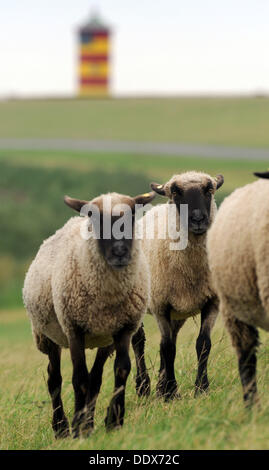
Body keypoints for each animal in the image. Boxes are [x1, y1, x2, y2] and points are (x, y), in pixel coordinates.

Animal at [23, 189, 155, 438]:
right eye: (95, 219)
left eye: (133, 215)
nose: (120, 252)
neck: (108, 295)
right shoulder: (74, 329)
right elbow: (79, 379)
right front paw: (77, 428)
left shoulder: (123, 328)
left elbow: (120, 371)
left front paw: (114, 421)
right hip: (48, 335)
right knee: (54, 378)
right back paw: (61, 427)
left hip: (104, 339)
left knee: (96, 377)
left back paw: (89, 422)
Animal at [135, 171, 223, 398]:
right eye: (175, 193)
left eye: (209, 190)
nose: (199, 219)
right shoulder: (160, 305)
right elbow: (168, 348)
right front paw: (171, 392)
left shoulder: (212, 302)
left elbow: (203, 343)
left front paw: (201, 387)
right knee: (138, 341)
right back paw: (143, 387)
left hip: (178, 312)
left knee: (168, 339)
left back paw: (159, 386)